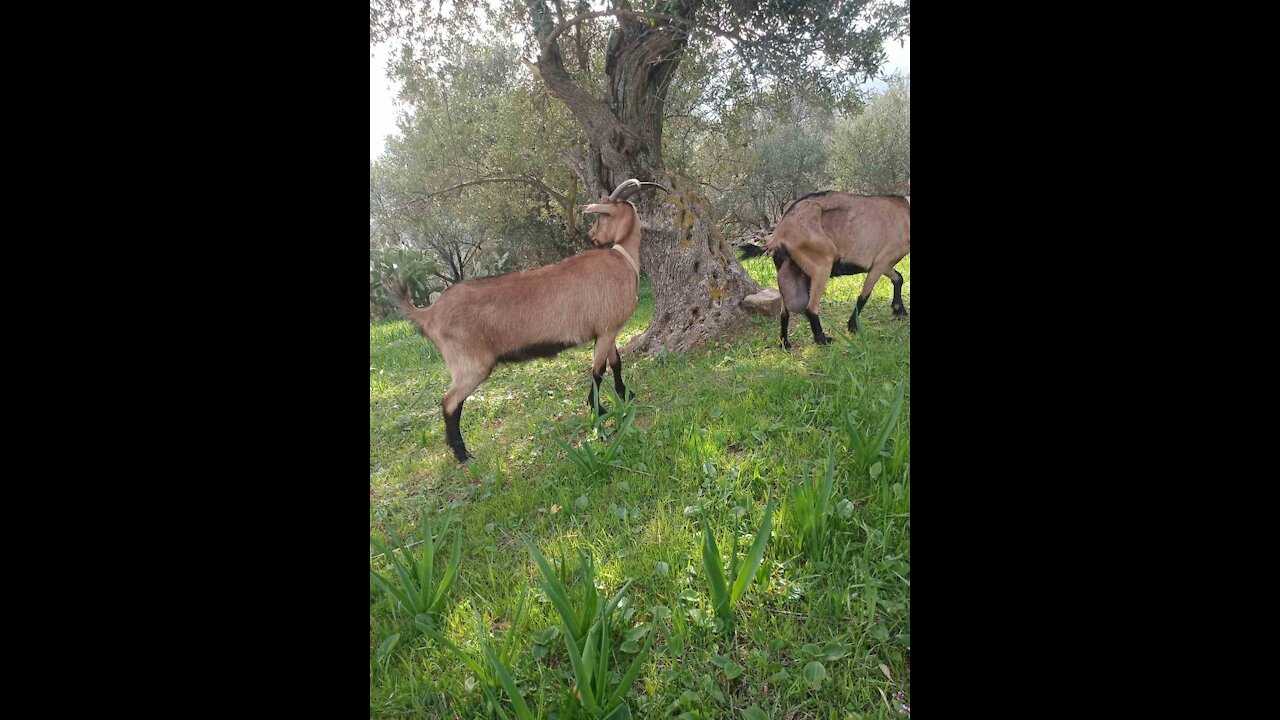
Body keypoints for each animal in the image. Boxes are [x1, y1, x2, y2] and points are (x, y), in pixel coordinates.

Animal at [389, 178, 670, 458]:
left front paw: (626, 395)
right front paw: (599, 413)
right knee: (449, 402)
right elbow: (597, 372)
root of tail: (427, 313)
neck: (623, 259)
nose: (592, 237)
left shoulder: (607, 330)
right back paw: (463, 455)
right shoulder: (608, 328)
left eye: (602, 217)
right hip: (469, 364)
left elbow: (615, 364)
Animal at [742, 189, 911, 348]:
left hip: (787, 271)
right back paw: (822, 340)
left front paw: (899, 310)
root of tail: (780, 232)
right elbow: (864, 296)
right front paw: (852, 327)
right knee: (811, 307)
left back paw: (786, 344)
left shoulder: (884, 264)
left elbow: (898, 278)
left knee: (785, 311)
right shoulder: (881, 262)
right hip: (822, 266)